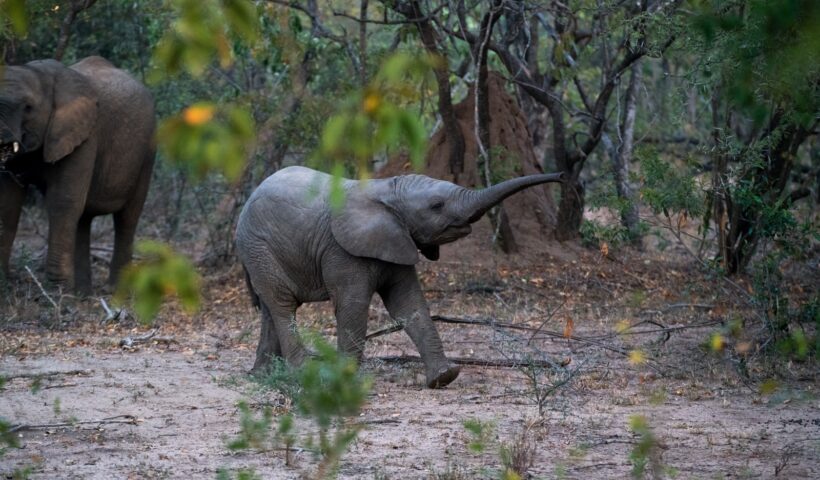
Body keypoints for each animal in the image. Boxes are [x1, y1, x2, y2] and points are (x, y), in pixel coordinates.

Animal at [0, 56, 156, 292]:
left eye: (28, 108)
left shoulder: (85, 136)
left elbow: (62, 201)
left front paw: (58, 293)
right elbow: (9, 202)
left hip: (147, 151)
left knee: (127, 218)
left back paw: (115, 291)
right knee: (83, 219)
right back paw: (83, 293)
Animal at [237, 167, 564, 388]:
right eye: (437, 205)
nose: (562, 177)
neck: (387, 190)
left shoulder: (397, 240)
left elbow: (408, 304)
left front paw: (444, 377)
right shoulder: (342, 250)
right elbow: (353, 306)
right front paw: (344, 382)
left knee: (270, 309)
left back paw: (262, 375)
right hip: (258, 247)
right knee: (282, 305)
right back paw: (303, 374)